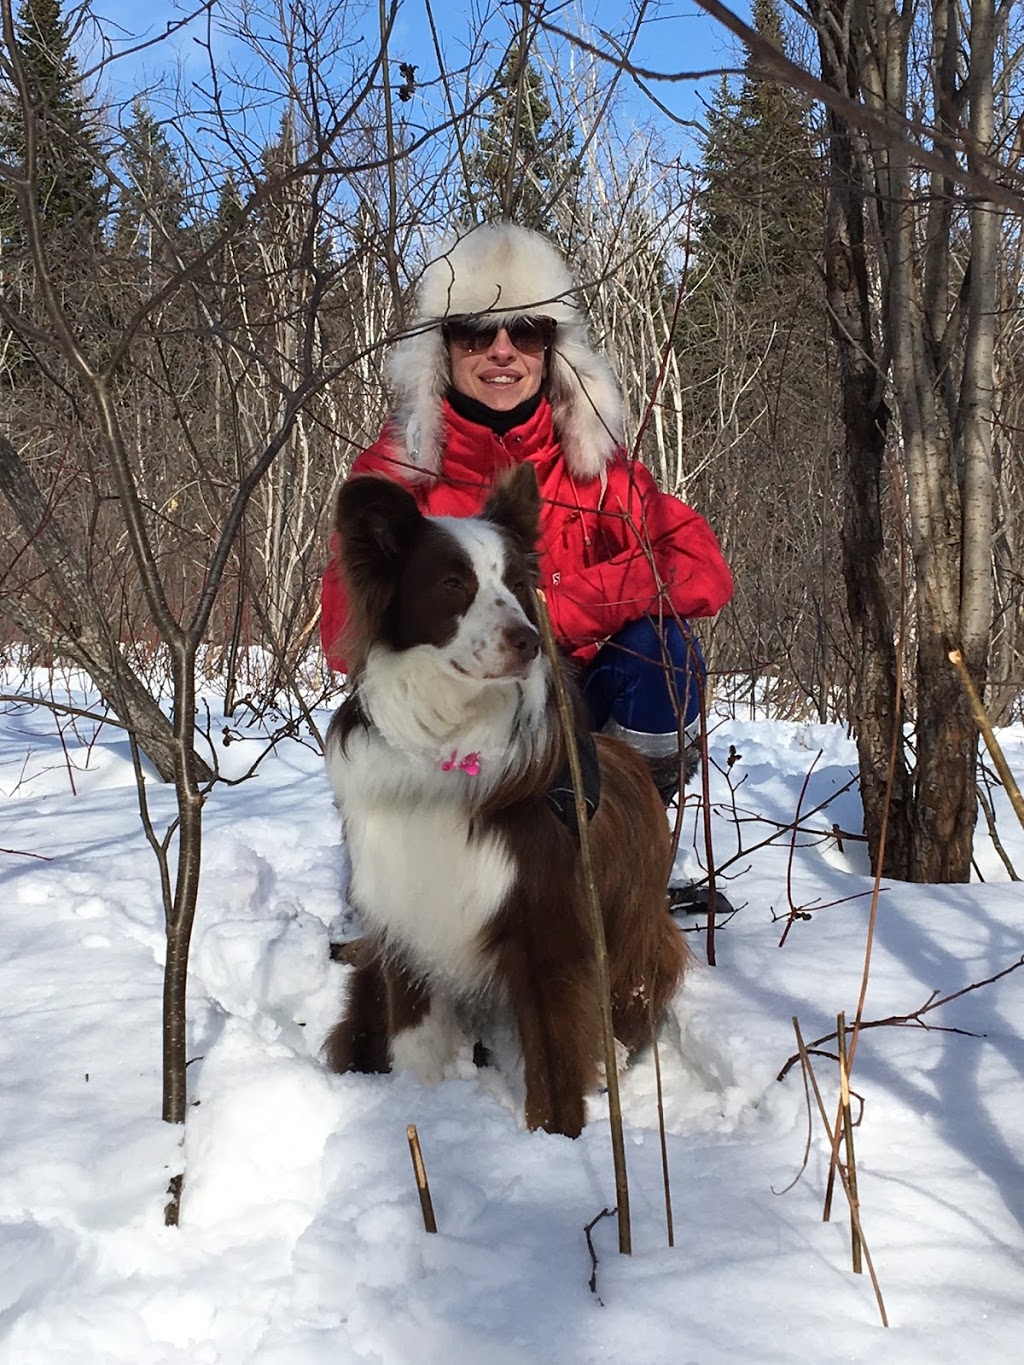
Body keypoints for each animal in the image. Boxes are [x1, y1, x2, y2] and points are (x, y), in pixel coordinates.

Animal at [322, 464, 690, 1135]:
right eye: (452, 583)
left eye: (519, 584)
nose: (528, 641)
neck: (450, 743)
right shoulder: (405, 919)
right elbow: (415, 1043)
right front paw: (424, 1109)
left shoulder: (547, 929)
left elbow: (554, 1065)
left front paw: (557, 1139)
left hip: (636, 941)